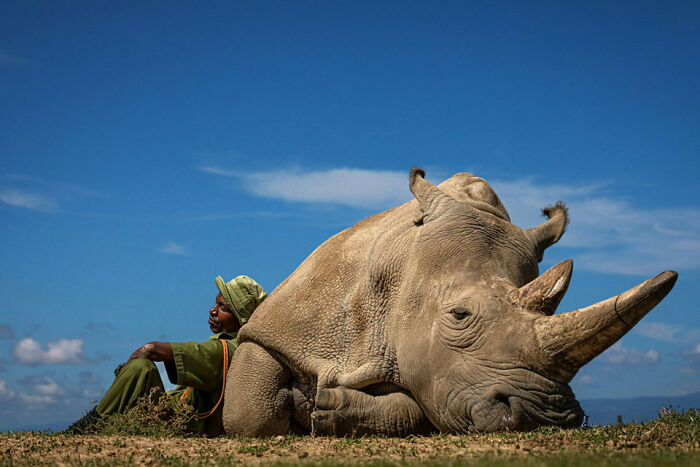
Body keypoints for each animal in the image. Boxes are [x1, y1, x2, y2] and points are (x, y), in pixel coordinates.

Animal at [222, 168, 677, 436]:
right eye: (460, 315)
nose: (545, 416)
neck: (401, 270)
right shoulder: (281, 325)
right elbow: (250, 412)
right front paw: (298, 407)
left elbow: (415, 406)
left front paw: (322, 408)